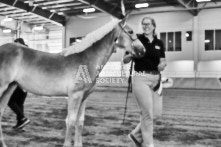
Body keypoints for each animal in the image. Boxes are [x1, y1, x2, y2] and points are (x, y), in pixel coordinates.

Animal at [0, 18, 145, 147]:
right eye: (130, 31)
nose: (142, 50)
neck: (85, 59)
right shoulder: (75, 95)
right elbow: (70, 121)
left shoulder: (84, 97)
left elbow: (80, 122)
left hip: (9, 88)